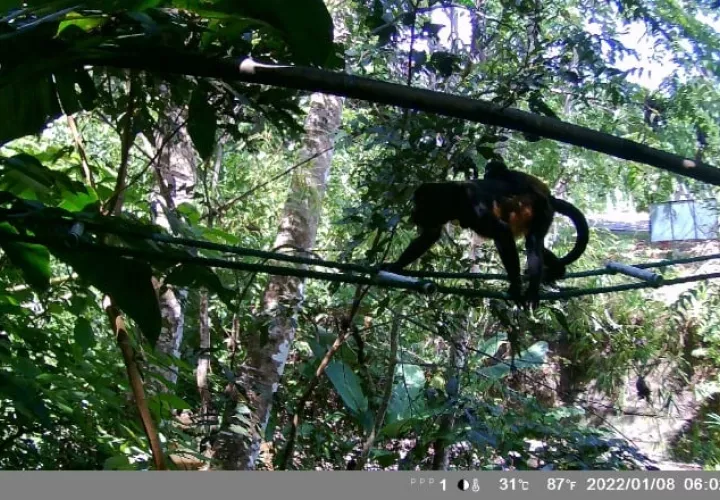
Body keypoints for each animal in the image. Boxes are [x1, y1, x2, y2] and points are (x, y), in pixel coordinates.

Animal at [380, 160, 589, 308]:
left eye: (418, 203)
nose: (412, 213)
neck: (454, 200)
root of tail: (548, 198)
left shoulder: (474, 207)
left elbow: (502, 231)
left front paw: (516, 287)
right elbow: (430, 235)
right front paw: (395, 266)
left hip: (543, 211)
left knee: (531, 241)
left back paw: (533, 289)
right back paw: (556, 271)